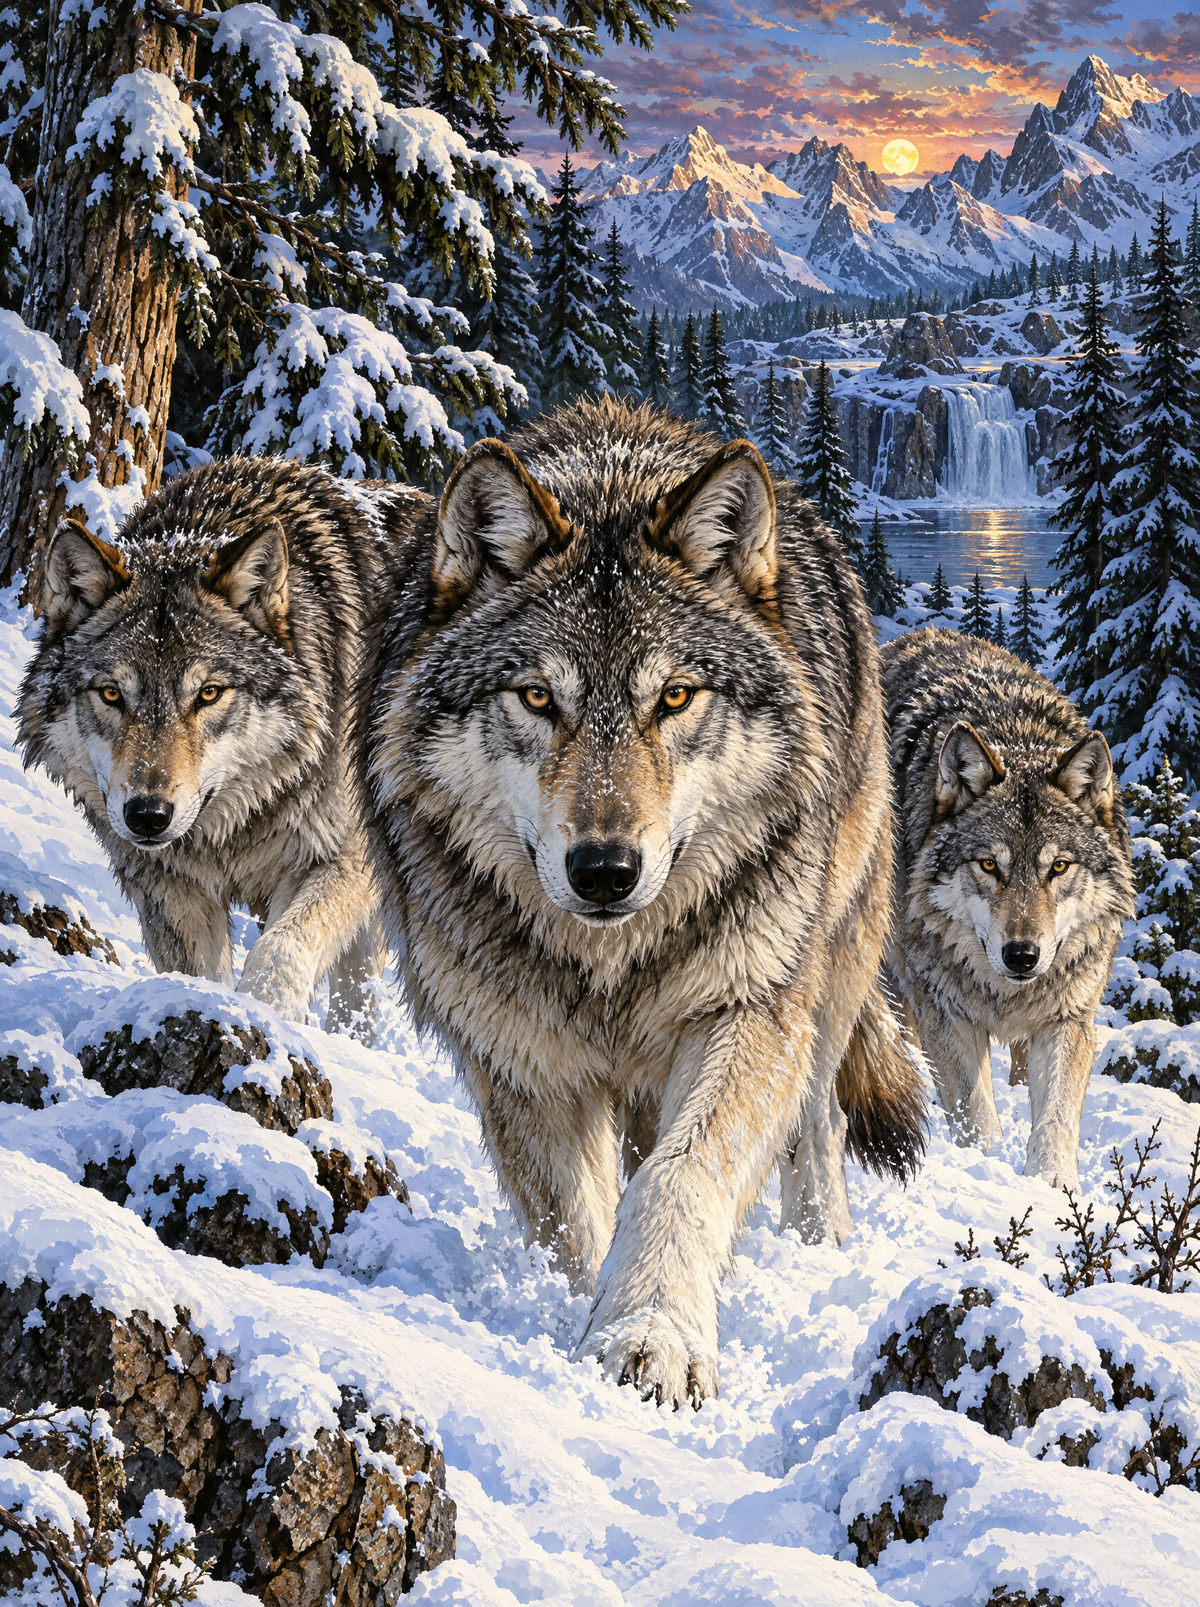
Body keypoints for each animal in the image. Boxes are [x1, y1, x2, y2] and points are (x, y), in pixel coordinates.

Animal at [18, 458, 414, 1029]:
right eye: (112, 693)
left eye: (208, 693)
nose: (148, 815)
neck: (234, 827)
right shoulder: (168, 886)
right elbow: (198, 974)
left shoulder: (340, 862)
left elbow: (280, 950)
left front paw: (268, 1019)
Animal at [360, 398, 926, 1408]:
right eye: (537, 697)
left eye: (674, 696)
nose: (605, 871)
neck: (610, 967)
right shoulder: (523, 1062)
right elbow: (578, 1219)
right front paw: (598, 1326)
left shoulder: (746, 1012)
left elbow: (679, 1176)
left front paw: (654, 1333)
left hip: (825, 977)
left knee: (816, 1124)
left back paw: (823, 1246)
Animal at [882, 628, 1134, 1190]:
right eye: (988, 865)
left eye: (1058, 867)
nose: (1022, 955)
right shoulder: (945, 1013)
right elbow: (976, 1115)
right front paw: (987, 1168)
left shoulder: (1067, 1017)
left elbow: (1056, 1117)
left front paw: (1051, 1186)